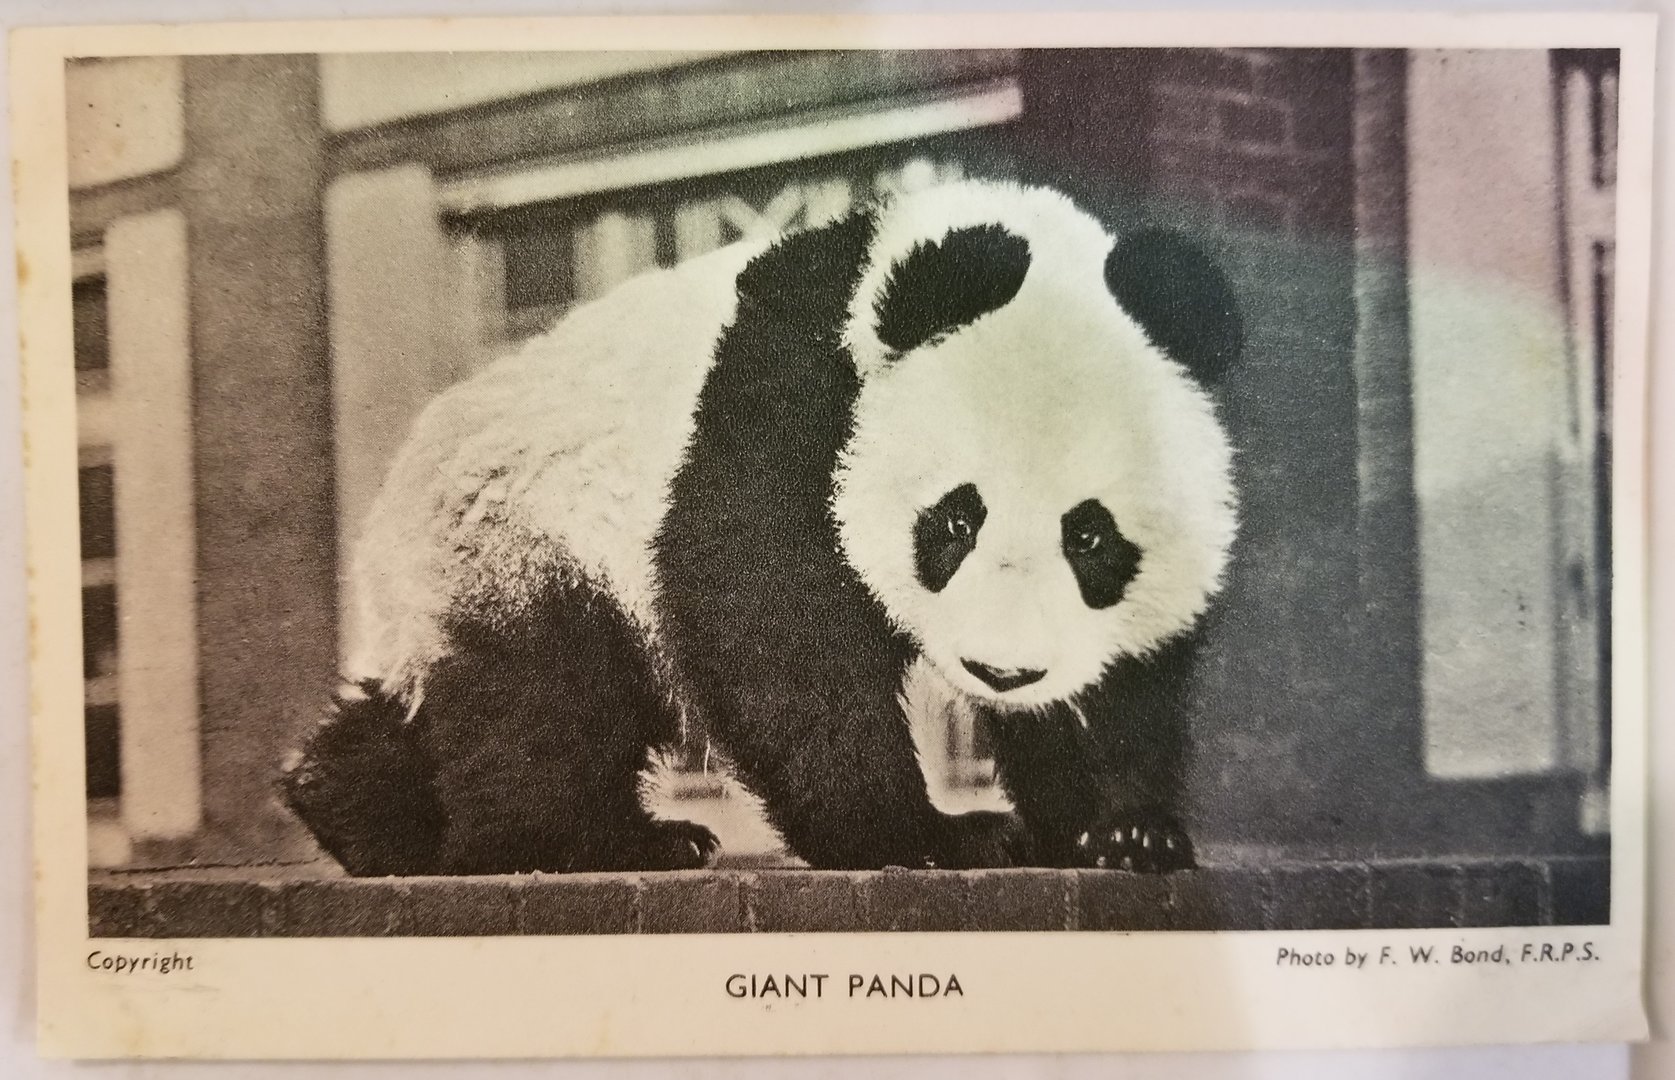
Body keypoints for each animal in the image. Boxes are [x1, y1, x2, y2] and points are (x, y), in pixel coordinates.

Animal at [280, 179, 1242, 877]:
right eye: (954, 519)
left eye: (1090, 538)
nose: (1002, 671)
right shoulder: (790, 393)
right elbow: (769, 612)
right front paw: (923, 834)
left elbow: (1125, 684)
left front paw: (1121, 830)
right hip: (529, 526)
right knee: (543, 696)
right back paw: (574, 842)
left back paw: (355, 807)